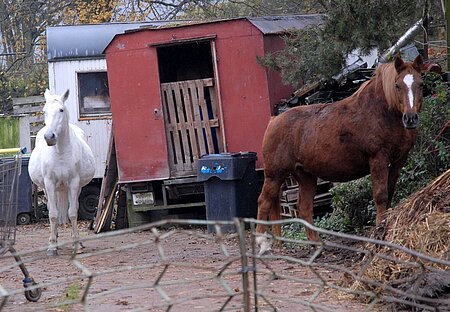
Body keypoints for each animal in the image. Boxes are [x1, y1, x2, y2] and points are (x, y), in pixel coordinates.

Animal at [29, 89, 96, 255]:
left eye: (61, 110)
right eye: (44, 111)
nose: (49, 137)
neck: (60, 152)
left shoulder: (74, 184)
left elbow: (72, 213)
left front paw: (76, 245)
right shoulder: (49, 184)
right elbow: (53, 214)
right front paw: (52, 246)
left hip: (77, 188)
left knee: (75, 207)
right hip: (47, 189)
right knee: (51, 209)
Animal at [258, 54, 424, 254]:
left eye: (421, 84)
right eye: (397, 85)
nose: (410, 119)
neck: (382, 112)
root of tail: (273, 120)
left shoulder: (399, 161)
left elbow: (390, 193)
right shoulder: (378, 159)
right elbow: (381, 195)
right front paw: (378, 236)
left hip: (305, 176)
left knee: (304, 207)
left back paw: (317, 245)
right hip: (274, 175)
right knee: (264, 202)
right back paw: (260, 244)